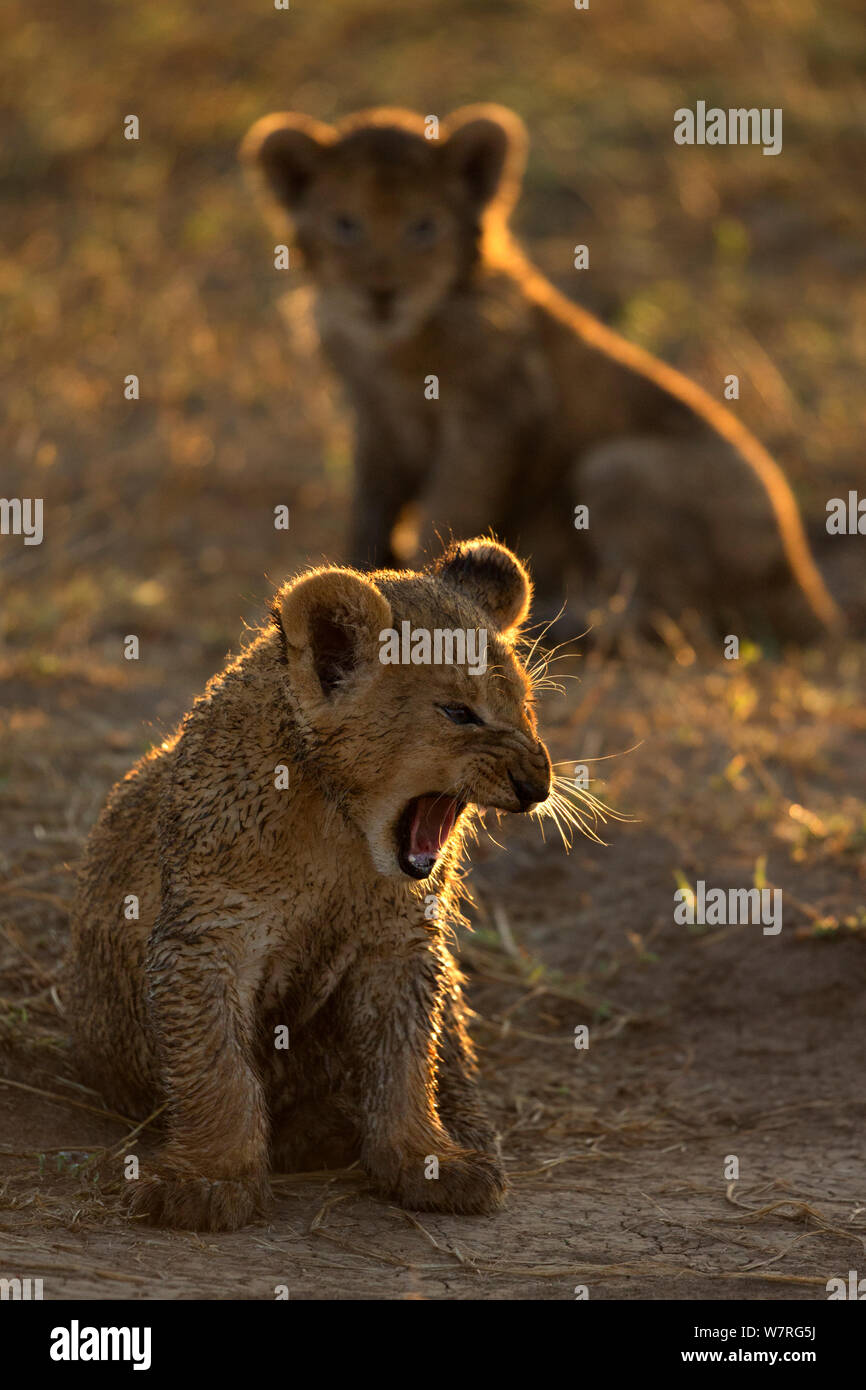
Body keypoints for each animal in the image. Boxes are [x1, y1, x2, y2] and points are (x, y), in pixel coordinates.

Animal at [65, 539, 555, 1231]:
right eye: (459, 712)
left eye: (525, 707)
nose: (539, 784)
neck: (340, 827)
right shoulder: (206, 936)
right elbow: (215, 1068)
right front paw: (210, 1179)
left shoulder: (400, 944)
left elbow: (406, 1063)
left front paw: (427, 1160)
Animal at [242, 103, 842, 639]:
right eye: (345, 225)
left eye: (424, 227)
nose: (381, 294)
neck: (395, 345)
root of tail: (808, 585)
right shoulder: (375, 419)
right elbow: (371, 508)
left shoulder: (495, 418)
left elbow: (449, 505)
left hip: (614, 468)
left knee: (682, 615)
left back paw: (573, 623)